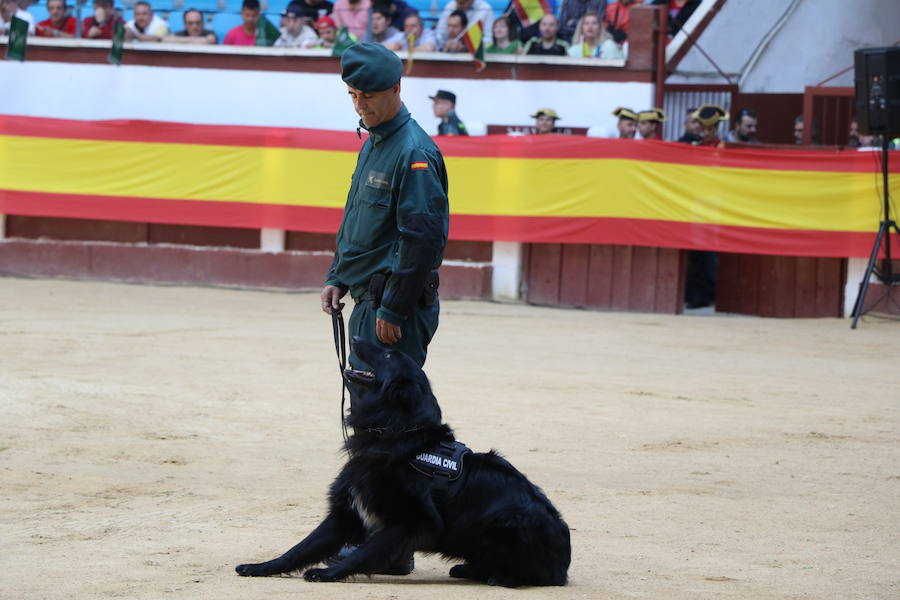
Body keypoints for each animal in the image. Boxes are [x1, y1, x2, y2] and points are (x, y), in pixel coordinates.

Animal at [236, 338, 572, 584]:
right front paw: (261, 567)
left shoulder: (413, 523)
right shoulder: (344, 515)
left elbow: (363, 553)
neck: (394, 434)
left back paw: (499, 576)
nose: (354, 338)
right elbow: (299, 548)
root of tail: (563, 565)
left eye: (387, 355)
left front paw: (329, 573)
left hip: (507, 521)